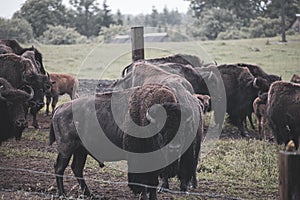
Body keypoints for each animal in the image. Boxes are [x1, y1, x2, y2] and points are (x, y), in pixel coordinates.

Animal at [49, 83, 202, 199]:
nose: (174, 147)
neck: (147, 121)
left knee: (77, 168)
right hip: (66, 149)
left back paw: (89, 194)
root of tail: (60, 108)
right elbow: (142, 183)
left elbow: (152, 183)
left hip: (81, 150)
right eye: (160, 131)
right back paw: (62, 194)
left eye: (182, 130)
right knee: (59, 167)